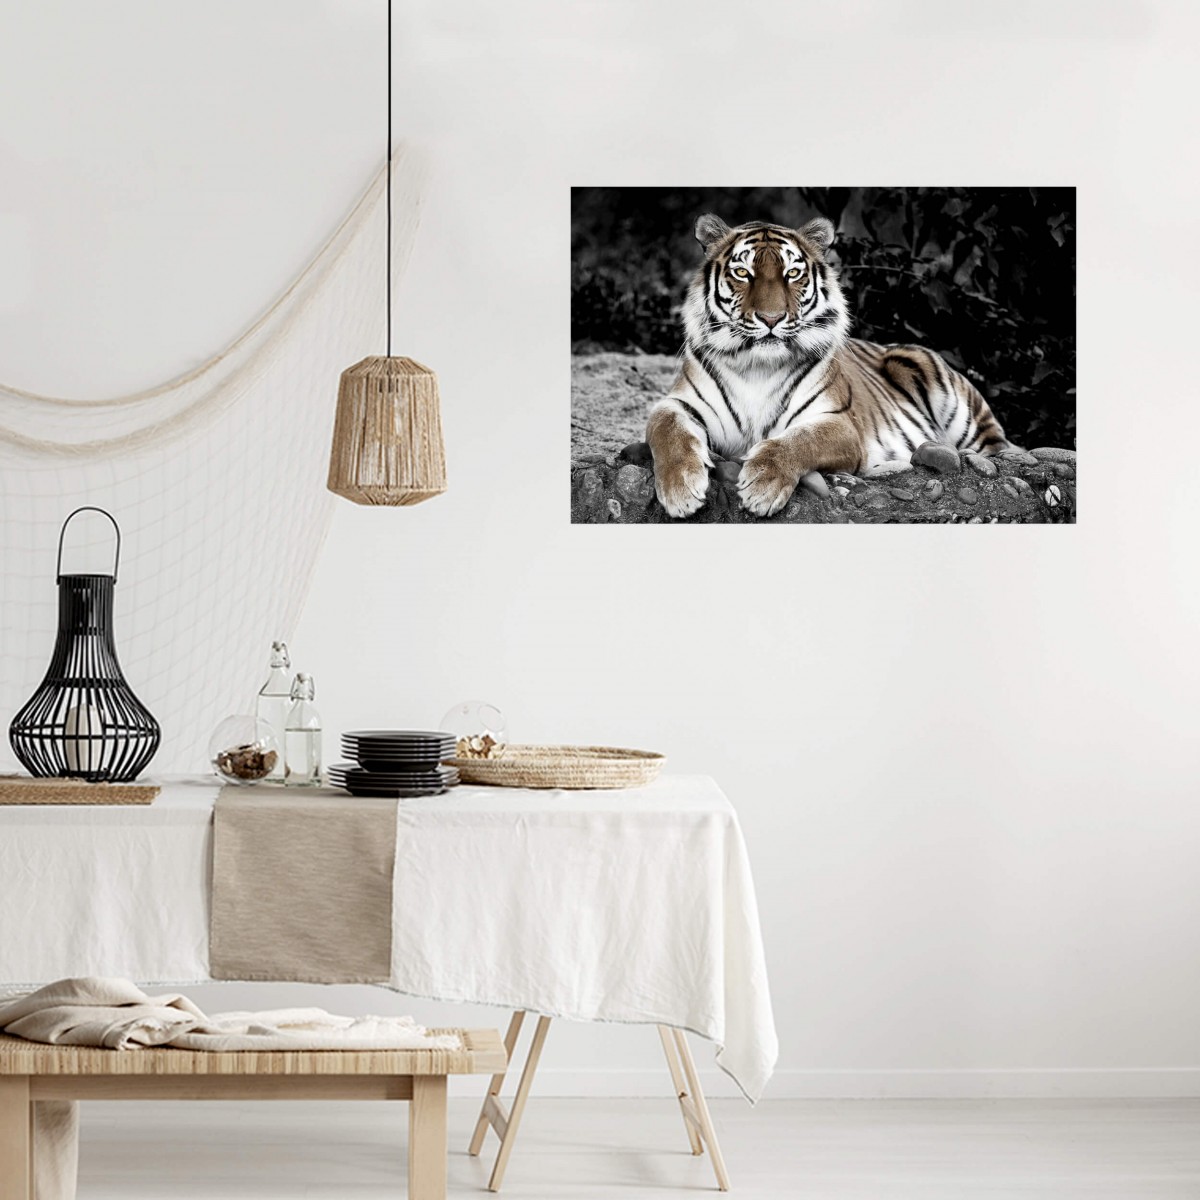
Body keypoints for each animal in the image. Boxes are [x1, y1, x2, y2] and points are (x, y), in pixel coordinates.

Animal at [646, 213, 1016, 518]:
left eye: (792, 273)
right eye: (742, 273)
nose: (771, 318)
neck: (757, 368)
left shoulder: (839, 424)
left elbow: (797, 441)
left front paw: (762, 486)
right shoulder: (679, 404)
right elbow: (667, 430)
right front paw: (681, 490)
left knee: (999, 448)